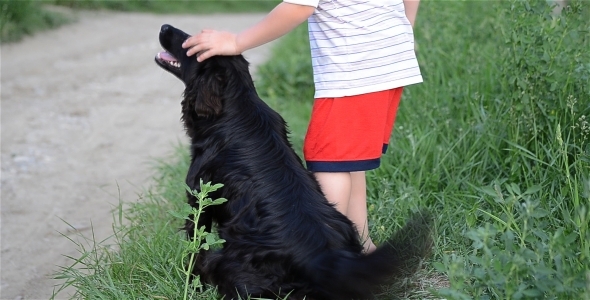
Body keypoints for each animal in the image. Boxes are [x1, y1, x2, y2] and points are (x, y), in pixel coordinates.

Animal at [156, 24, 434, 300]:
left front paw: (192, 285)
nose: (165, 26)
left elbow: (196, 247)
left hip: (228, 263)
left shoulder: (199, 197)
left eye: (191, 43)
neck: (233, 107)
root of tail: (330, 261)